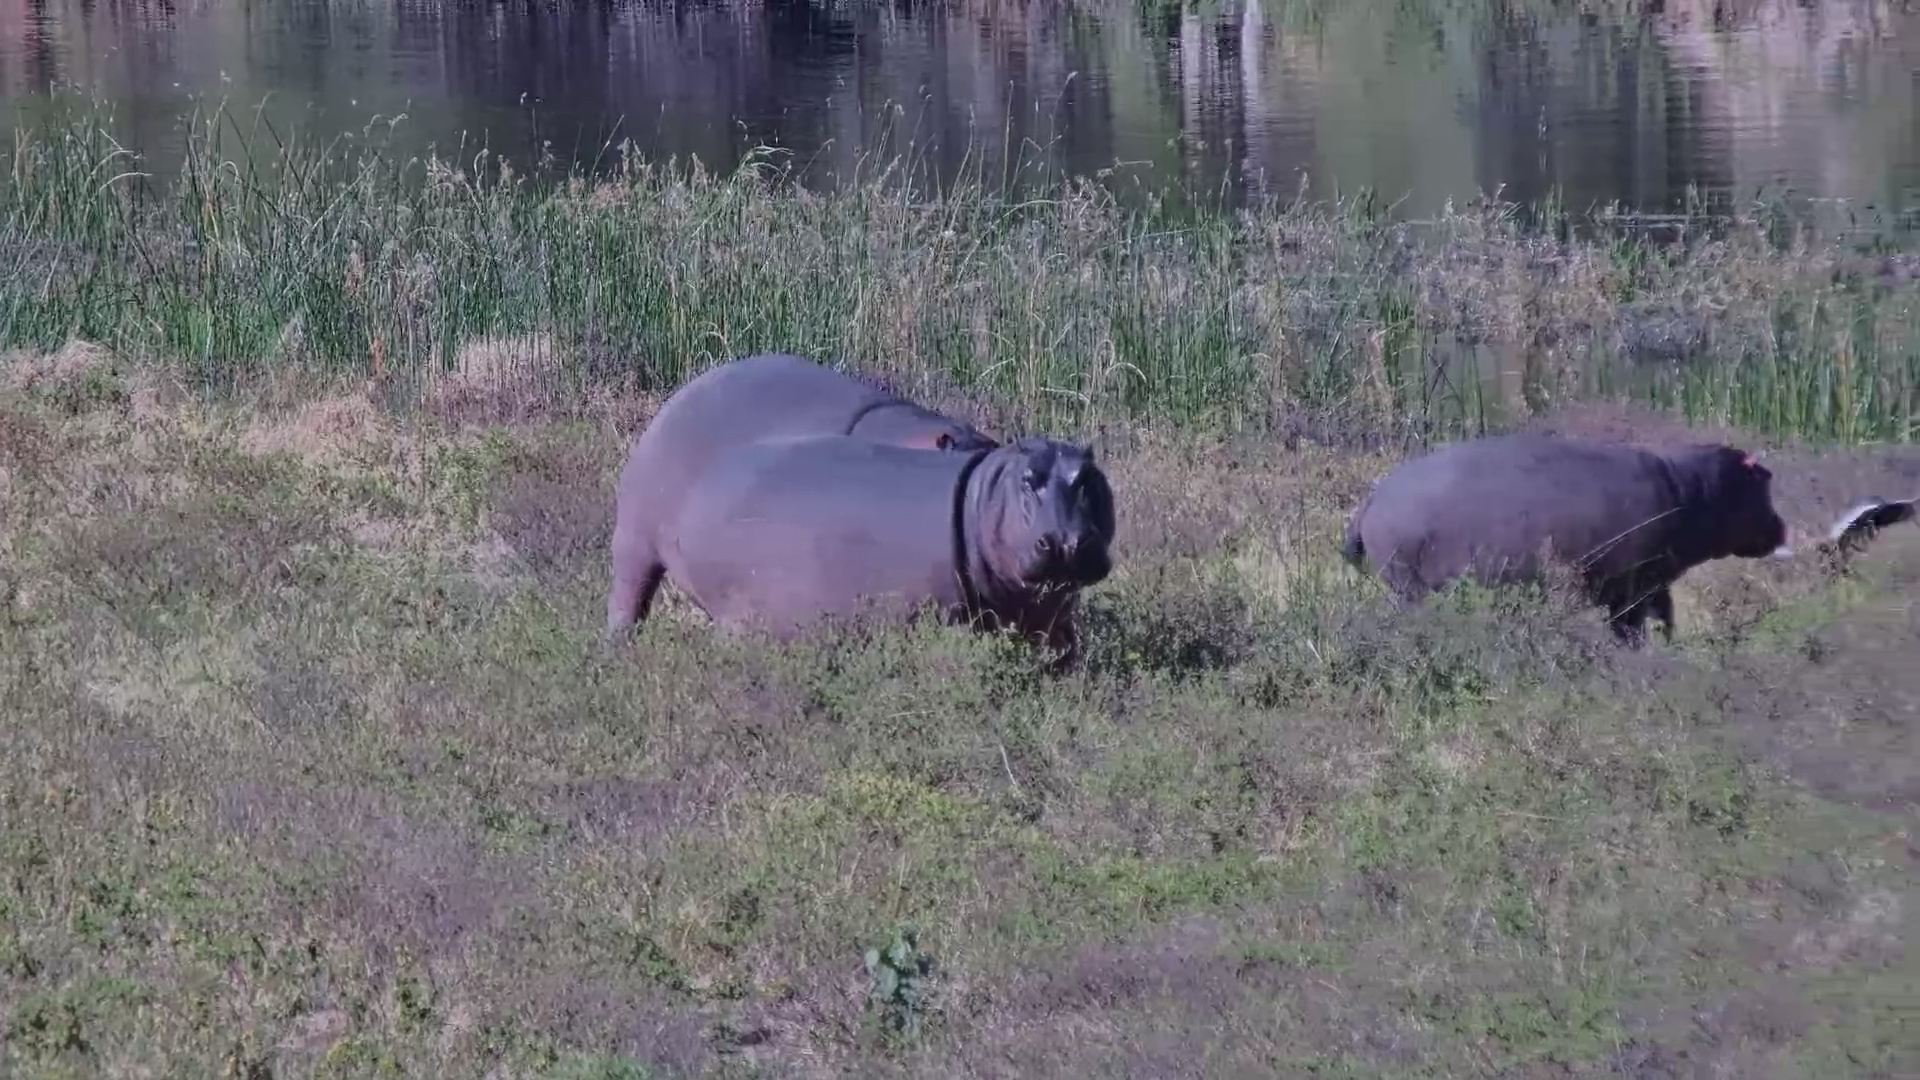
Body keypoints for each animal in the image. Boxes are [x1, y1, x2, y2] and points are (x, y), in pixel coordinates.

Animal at [646, 433, 1115, 668]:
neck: (984, 492)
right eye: (1028, 480)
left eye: (1087, 477)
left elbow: (1062, 651)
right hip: (737, 616)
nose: (1068, 541)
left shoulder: (1047, 613)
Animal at [1340, 433, 1791, 644]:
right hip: (1409, 585)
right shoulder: (1635, 586)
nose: (1783, 527)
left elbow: (1662, 619)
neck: (1694, 491)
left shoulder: (1651, 584)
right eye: (1762, 482)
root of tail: (1376, 495)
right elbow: (1635, 626)